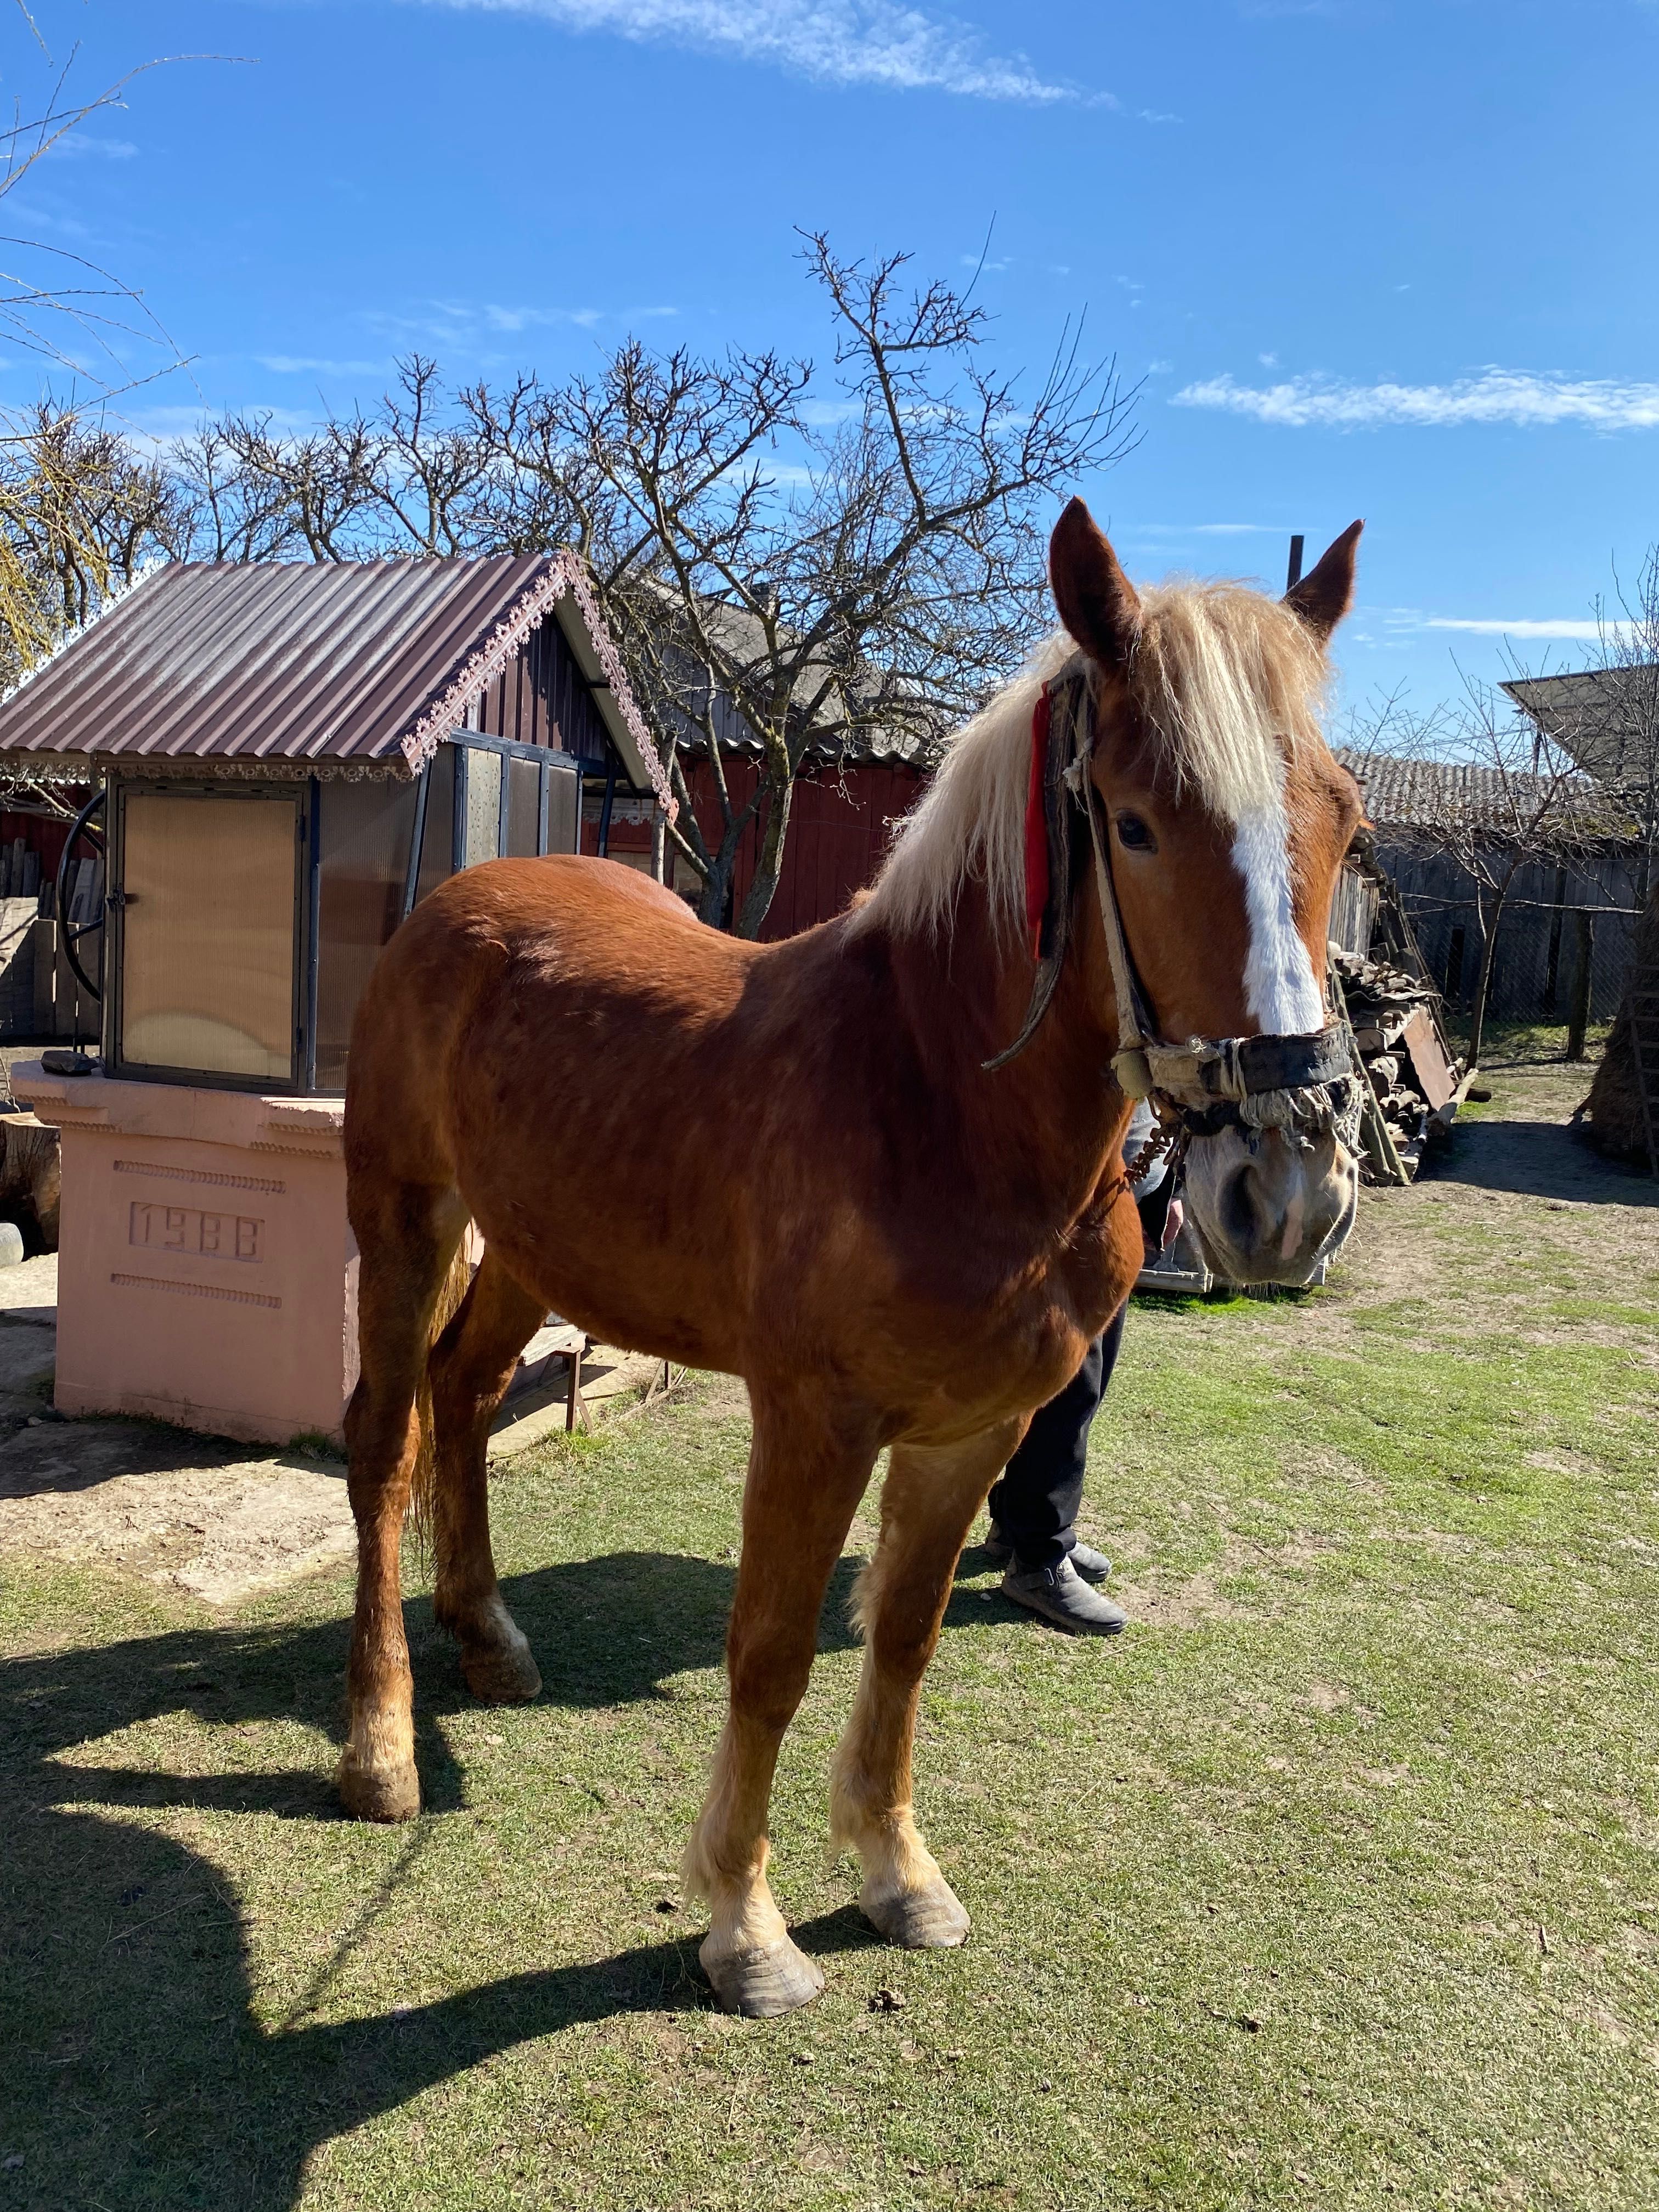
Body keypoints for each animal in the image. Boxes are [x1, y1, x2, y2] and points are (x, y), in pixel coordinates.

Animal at [334, 506, 1362, 2026]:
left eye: (1346, 820)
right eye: (1133, 823)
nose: (1283, 1192)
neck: (933, 1102)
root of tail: (465, 895)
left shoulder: (970, 1433)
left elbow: (900, 1645)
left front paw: (896, 1875)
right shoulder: (814, 1426)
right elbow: (766, 1659)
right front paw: (745, 1927)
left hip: (531, 1248)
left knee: (462, 1399)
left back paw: (491, 1637)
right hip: (405, 1220)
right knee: (384, 1442)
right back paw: (381, 1748)